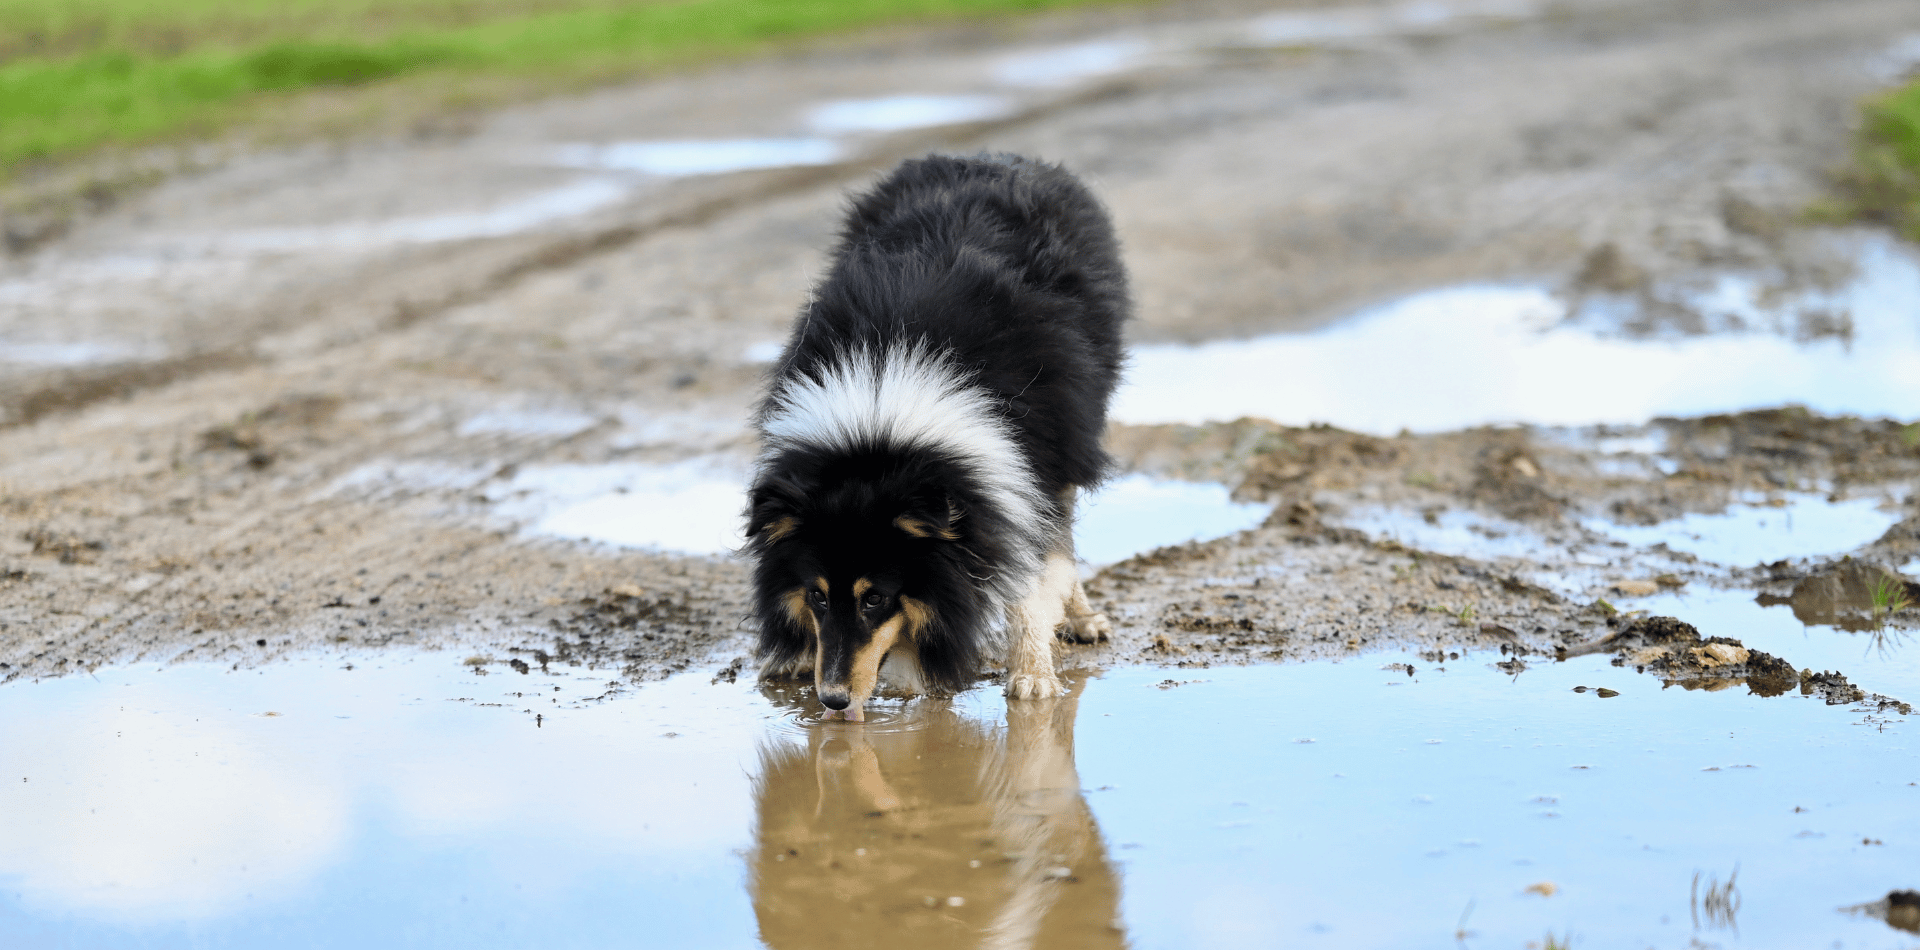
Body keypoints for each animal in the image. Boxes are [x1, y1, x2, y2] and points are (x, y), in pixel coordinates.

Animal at [733, 154, 1121, 721]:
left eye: (875, 598)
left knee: (1062, 534)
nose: (833, 700)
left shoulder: (1029, 462)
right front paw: (796, 657)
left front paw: (1032, 679)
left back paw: (1082, 620)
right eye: (818, 596)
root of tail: (992, 157)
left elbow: (1033, 571)